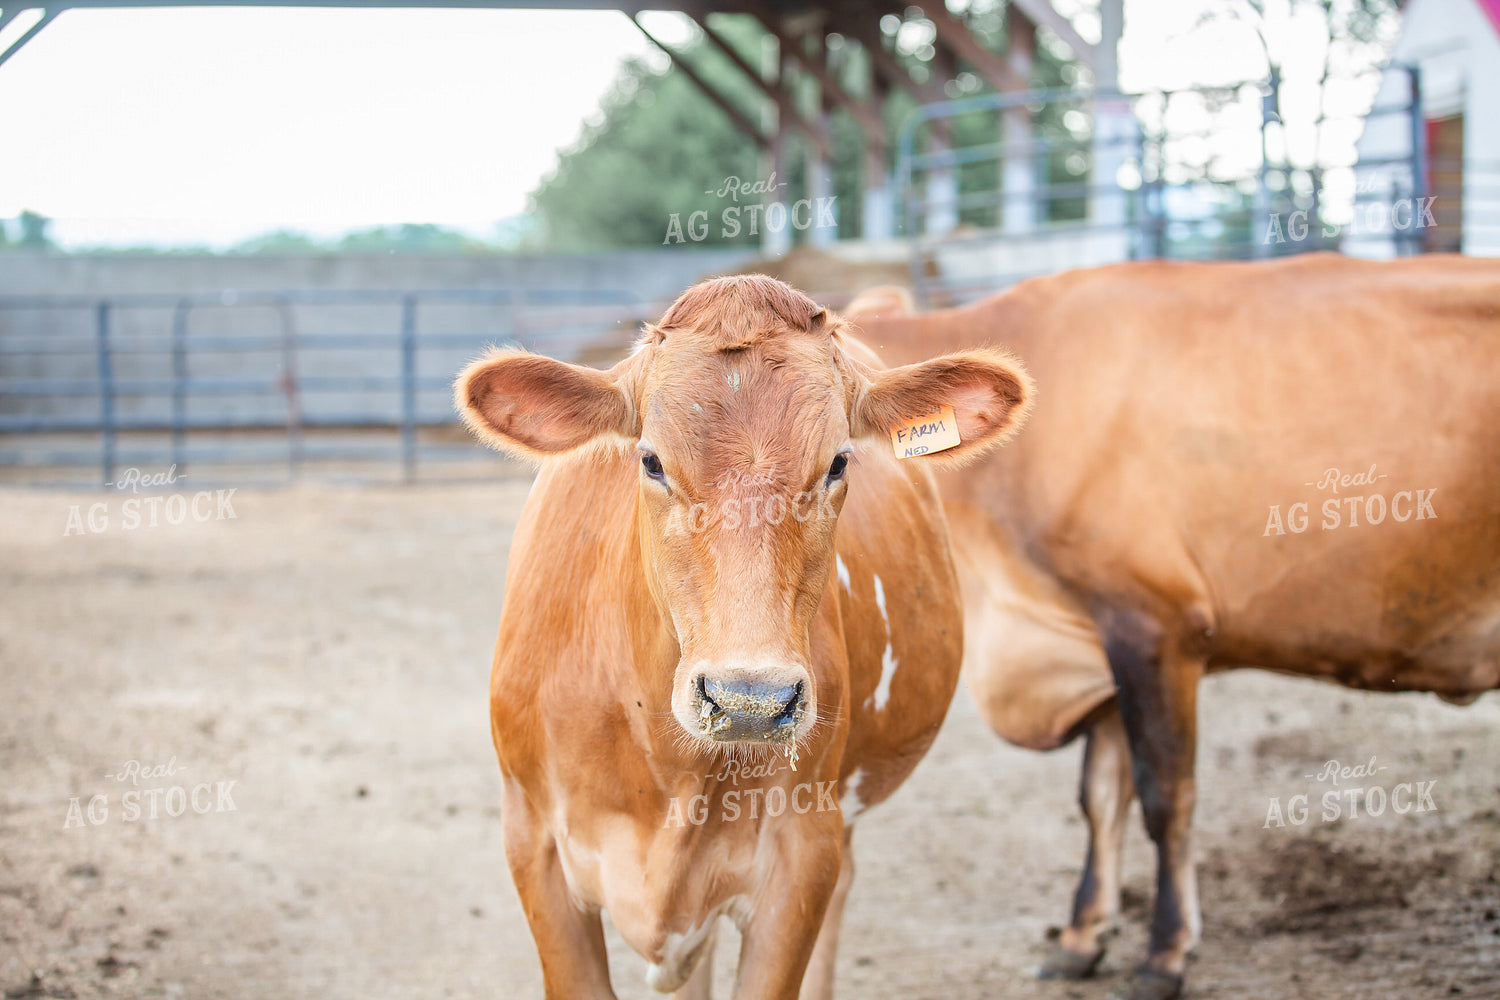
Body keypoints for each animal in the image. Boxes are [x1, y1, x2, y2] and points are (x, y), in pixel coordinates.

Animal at [846, 253, 1500, 1000]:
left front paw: (1165, 951)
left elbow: (1166, 796)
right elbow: (1100, 796)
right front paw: (1081, 937)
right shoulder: (1097, 635)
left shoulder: (1155, 625)